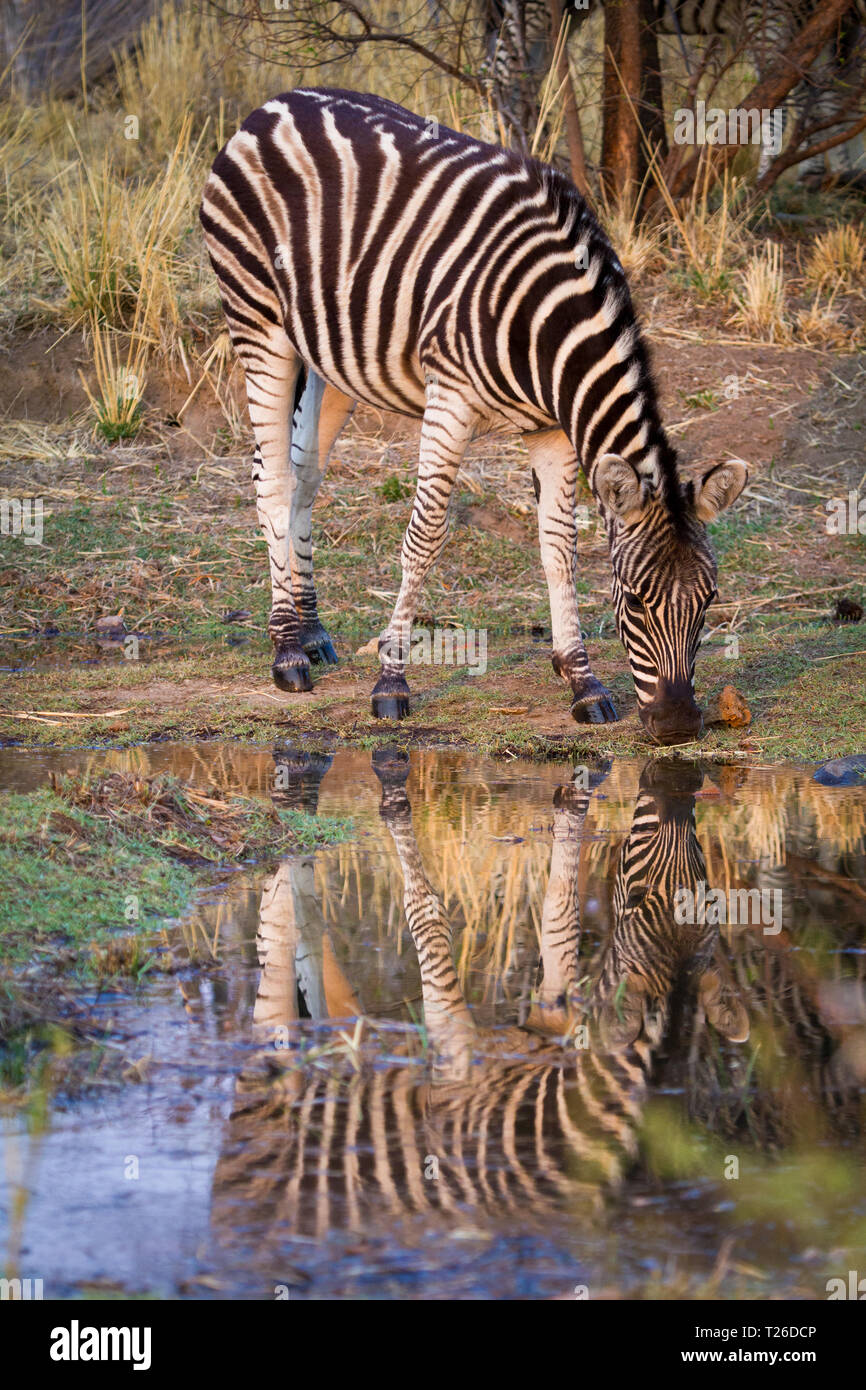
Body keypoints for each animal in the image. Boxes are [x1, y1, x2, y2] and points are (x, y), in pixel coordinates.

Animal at [200, 91, 750, 745]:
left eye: (710, 601)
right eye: (637, 601)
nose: (679, 726)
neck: (547, 328)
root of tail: (271, 105)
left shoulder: (552, 427)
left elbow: (558, 546)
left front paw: (582, 681)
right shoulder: (451, 397)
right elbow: (426, 535)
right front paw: (391, 683)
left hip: (328, 356)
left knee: (303, 479)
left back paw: (309, 632)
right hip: (258, 322)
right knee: (273, 481)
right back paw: (285, 651)